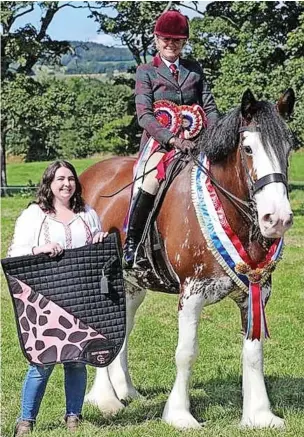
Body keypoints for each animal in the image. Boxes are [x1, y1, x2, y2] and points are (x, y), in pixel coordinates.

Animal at [79, 87, 296, 428]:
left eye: (289, 148)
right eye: (248, 148)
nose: (278, 219)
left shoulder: (257, 292)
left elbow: (253, 351)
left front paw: (260, 414)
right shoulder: (192, 293)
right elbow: (186, 352)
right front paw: (180, 414)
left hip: (132, 285)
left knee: (124, 328)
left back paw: (126, 391)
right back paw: (105, 399)